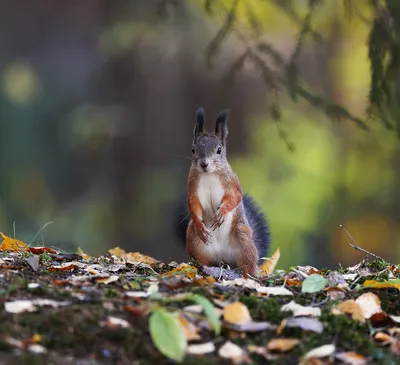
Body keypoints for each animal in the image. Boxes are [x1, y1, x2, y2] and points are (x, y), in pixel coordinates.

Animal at [174, 107, 270, 276]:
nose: (204, 164)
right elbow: (193, 203)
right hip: (193, 239)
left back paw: (250, 274)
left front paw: (222, 213)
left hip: (243, 238)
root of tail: (224, 261)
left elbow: (235, 197)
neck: (210, 174)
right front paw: (200, 224)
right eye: (193, 149)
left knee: (249, 265)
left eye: (219, 150)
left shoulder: (232, 182)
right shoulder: (192, 186)